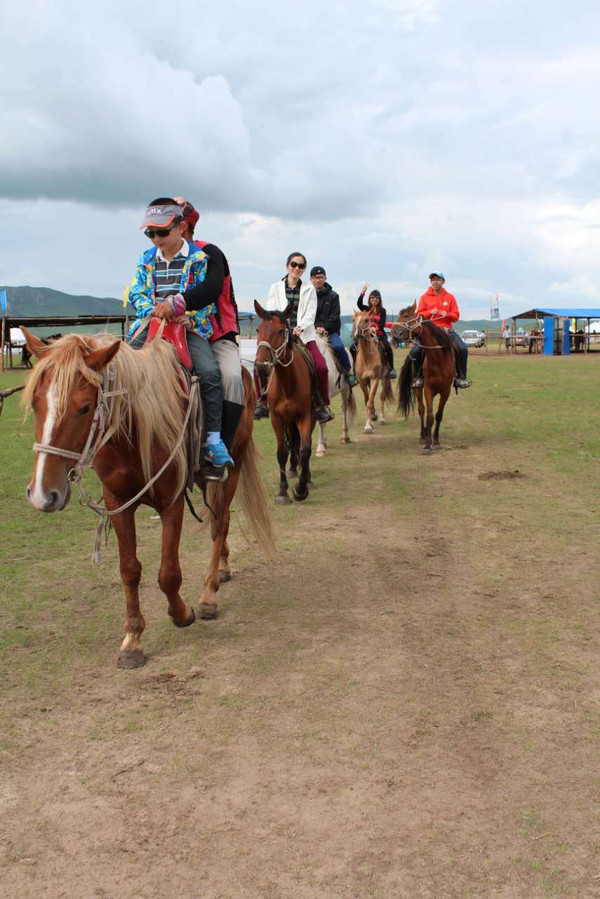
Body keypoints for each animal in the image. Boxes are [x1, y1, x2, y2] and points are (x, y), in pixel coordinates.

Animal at [20, 328, 274, 668]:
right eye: (36, 403)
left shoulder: (171, 502)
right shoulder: (117, 503)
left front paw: (182, 613)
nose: (42, 494)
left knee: (220, 523)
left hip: (233, 465)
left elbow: (168, 574)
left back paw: (209, 594)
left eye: (84, 407)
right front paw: (132, 639)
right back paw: (222, 569)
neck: (135, 429)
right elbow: (129, 570)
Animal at [253, 300, 316, 500]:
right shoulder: (277, 418)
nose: (261, 366)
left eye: (281, 331)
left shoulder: (305, 416)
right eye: (258, 329)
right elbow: (281, 452)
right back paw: (293, 469)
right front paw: (282, 491)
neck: (287, 384)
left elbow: (305, 449)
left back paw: (307, 477)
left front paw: (301, 489)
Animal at [394, 304, 454, 458]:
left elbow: (438, 415)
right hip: (417, 388)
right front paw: (427, 445)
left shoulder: (446, 391)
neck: (438, 360)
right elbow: (429, 416)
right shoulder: (428, 389)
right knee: (422, 410)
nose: (394, 334)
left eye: (407, 316)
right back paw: (423, 435)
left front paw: (436, 441)